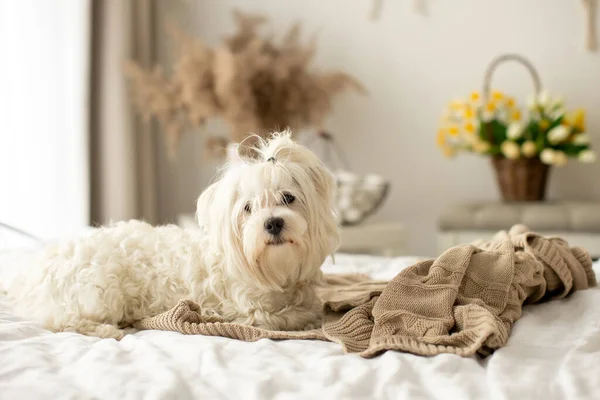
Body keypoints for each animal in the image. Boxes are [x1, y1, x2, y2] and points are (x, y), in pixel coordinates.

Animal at [7, 133, 340, 340]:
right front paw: (309, 317)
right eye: (247, 208)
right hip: (99, 288)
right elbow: (289, 316)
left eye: (288, 198)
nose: (272, 224)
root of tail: (30, 277)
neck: (277, 271)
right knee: (63, 321)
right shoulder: (248, 312)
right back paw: (110, 330)